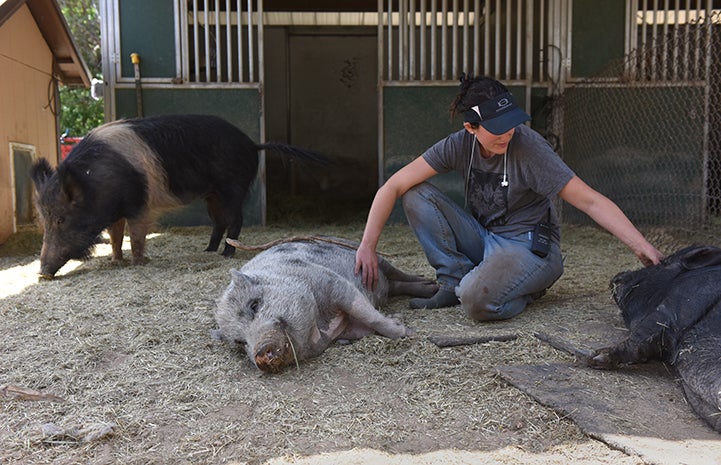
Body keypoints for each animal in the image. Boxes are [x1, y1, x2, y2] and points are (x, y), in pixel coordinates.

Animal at [31, 113, 326, 278]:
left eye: (61, 219)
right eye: (45, 220)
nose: (42, 272)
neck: (99, 181)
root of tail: (253, 144)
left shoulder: (139, 204)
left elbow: (136, 235)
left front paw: (139, 262)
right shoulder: (116, 211)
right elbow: (116, 235)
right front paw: (116, 261)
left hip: (232, 187)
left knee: (235, 220)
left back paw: (226, 255)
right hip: (211, 194)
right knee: (219, 221)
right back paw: (207, 250)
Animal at [211, 239, 436, 374]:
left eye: (254, 305)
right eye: (240, 342)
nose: (260, 355)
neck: (319, 324)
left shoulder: (333, 283)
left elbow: (368, 314)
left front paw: (408, 332)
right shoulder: (348, 328)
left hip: (373, 258)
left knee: (398, 274)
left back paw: (431, 284)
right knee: (395, 285)